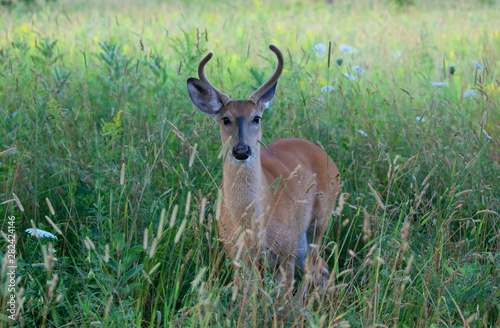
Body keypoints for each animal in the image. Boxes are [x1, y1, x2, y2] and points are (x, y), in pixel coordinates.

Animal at [186, 44, 342, 294]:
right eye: (225, 119)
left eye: (256, 118)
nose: (241, 150)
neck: (252, 223)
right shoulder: (236, 253)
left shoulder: (285, 250)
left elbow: (281, 295)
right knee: (320, 267)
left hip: (318, 222)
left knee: (317, 266)